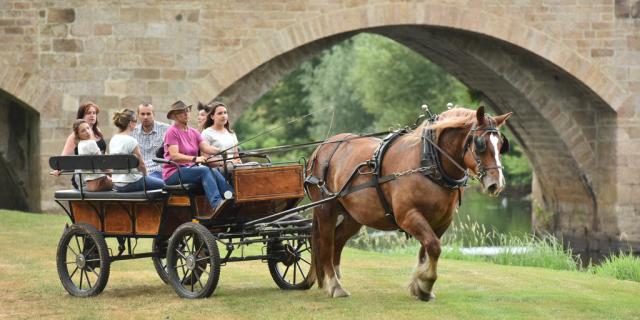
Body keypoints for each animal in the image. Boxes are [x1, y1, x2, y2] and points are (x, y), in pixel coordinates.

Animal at [304, 107, 516, 300]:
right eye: (480, 144)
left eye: (501, 145)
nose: (496, 184)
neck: (430, 164)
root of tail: (322, 147)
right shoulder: (408, 217)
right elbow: (434, 246)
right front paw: (426, 282)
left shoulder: (441, 221)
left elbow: (427, 250)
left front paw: (420, 286)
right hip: (326, 209)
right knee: (326, 243)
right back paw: (334, 285)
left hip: (354, 215)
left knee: (338, 240)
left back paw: (335, 279)